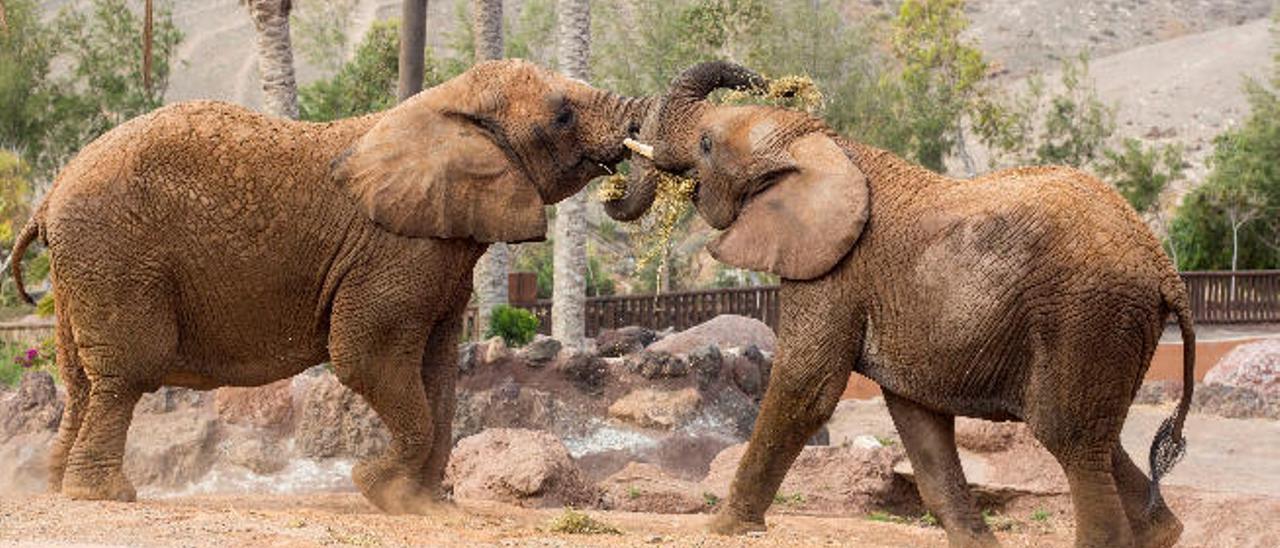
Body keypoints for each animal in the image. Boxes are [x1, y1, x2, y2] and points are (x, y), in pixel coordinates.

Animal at [5, 59, 655, 514]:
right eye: (563, 116)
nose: (622, 173)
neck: (446, 103)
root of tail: (50, 192)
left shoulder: (442, 250)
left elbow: (439, 371)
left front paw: (422, 505)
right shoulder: (397, 250)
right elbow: (366, 357)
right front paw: (378, 489)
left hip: (83, 267)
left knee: (79, 379)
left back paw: (58, 486)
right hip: (117, 256)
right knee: (125, 374)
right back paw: (103, 496)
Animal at [604, 61, 1192, 548]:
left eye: (706, 143)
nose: (772, 80)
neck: (829, 146)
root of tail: (1163, 267)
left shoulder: (835, 271)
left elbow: (805, 386)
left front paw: (724, 527)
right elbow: (918, 421)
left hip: (1086, 318)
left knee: (1070, 439)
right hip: (1108, 328)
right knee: (1097, 440)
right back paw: (1161, 532)